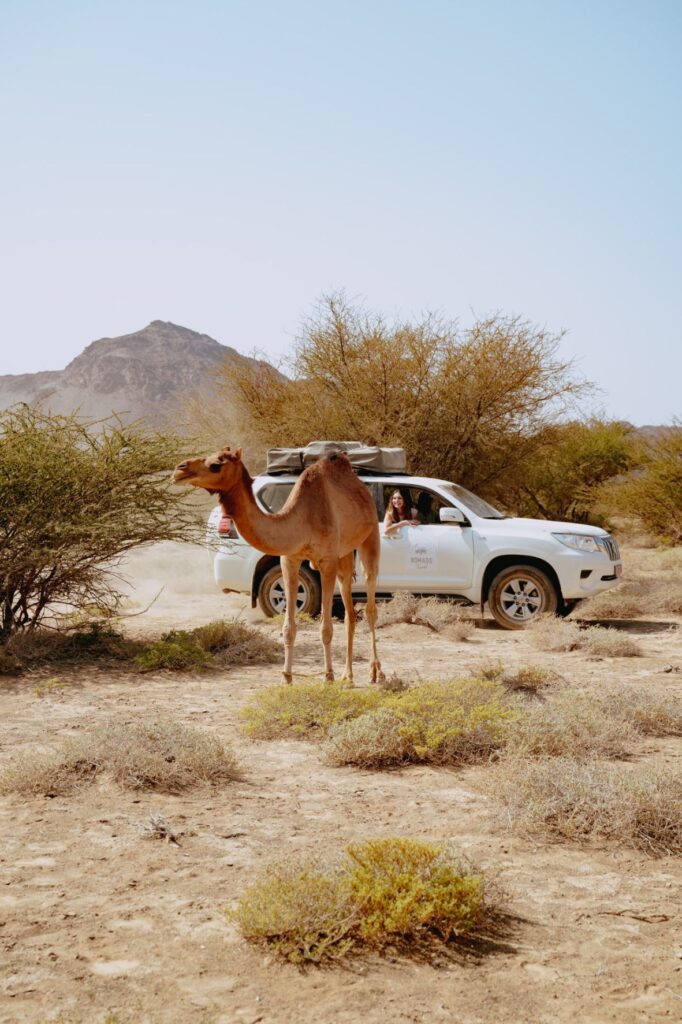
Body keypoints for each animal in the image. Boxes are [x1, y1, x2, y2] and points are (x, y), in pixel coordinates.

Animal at [173, 446, 383, 686]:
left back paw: (375, 672)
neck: (302, 522)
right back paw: (347, 675)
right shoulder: (289, 560)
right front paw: (287, 677)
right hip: (345, 554)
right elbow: (288, 627)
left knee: (370, 603)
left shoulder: (327, 561)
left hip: (369, 537)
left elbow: (325, 627)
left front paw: (328, 676)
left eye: (216, 465)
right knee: (349, 611)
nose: (179, 469)